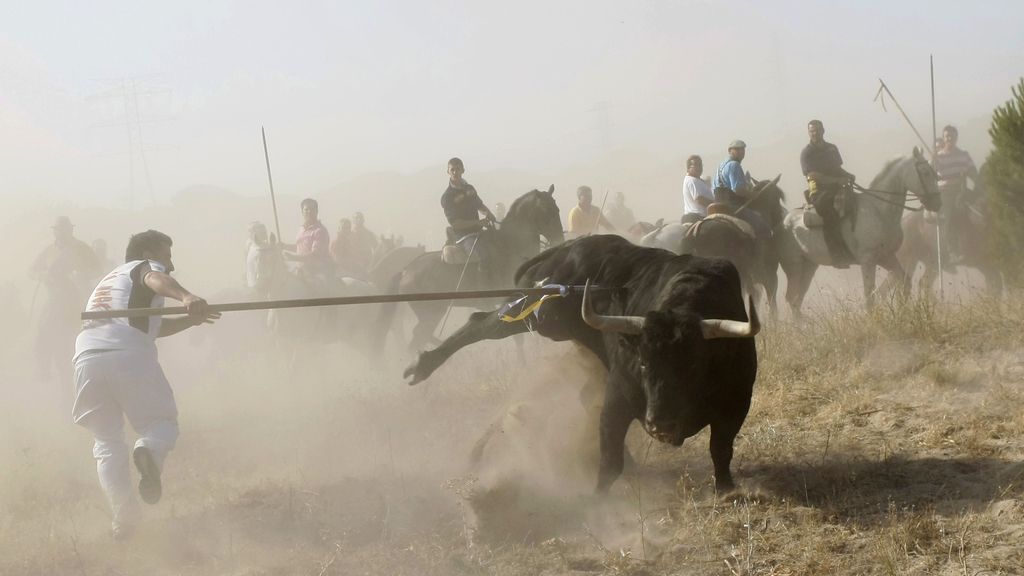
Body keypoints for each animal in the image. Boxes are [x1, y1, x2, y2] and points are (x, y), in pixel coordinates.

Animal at [376, 186, 569, 352]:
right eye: (545, 211)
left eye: (557, 209)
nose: (559, 238)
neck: (510, 245)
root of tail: (405, 271)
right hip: (431, 315)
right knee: (417, 339)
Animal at [403, 233, 757, 487]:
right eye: (643, 363)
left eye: (693, 365)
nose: (659, 424)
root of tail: (565, 248)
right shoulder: (618, 395)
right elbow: (609, 459)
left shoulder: (737, 402)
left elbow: (721, 449)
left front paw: (726, 489)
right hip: (542, 314)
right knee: (481, 323)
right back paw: (422, 366)